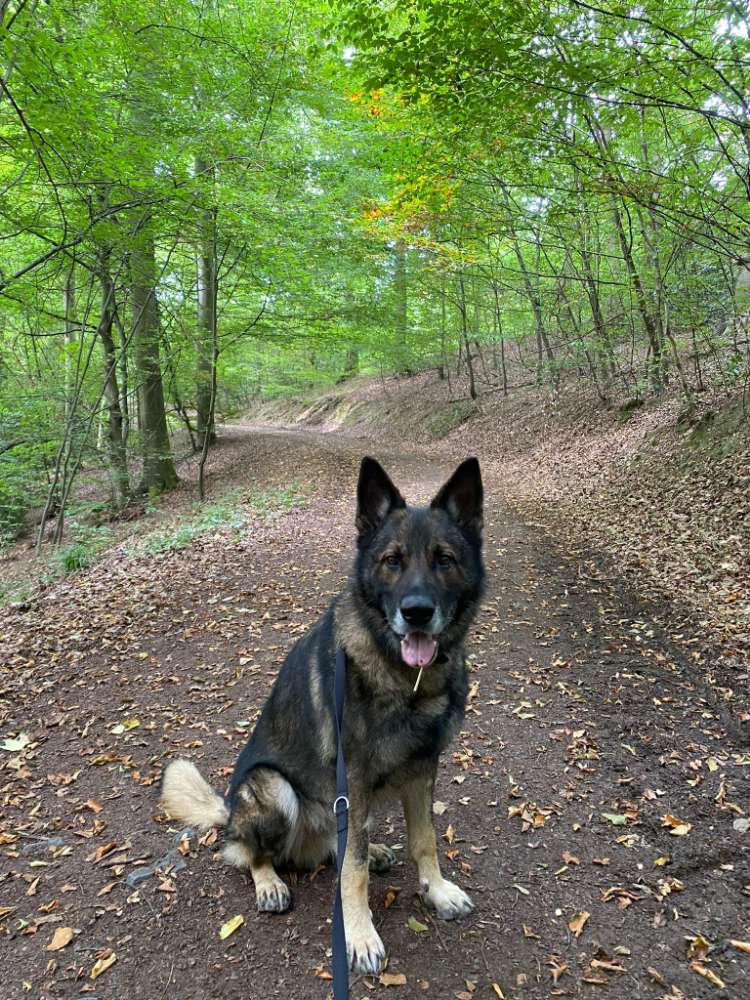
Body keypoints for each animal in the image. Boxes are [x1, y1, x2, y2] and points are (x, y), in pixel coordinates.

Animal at [161, 458, 484, 972]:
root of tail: (228, 809)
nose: (416, 612)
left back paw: (373, 850)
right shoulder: (354, 779)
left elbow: (424, 840)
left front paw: (436, 891)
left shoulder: (422, 770)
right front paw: (360, 936)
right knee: (248, 852)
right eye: (392, 561)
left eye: (444, 559)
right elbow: (352, 873)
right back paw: (270, 882)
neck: (406, 680)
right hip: (273, 789)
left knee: (342, 843)